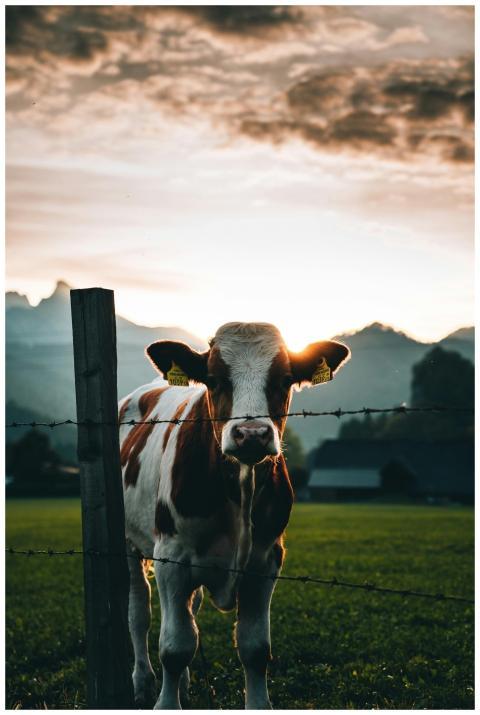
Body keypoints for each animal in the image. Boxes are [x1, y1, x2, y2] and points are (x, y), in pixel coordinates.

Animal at [119, 322, 350, 709]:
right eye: (213, 379)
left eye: (285, 379)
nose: (251, 434)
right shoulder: (171, 557)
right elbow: (174, 647)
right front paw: (166, 701)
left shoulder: (267, 560)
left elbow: (254, 649)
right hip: (129, 544)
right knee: (139, 612)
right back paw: (142, 680)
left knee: (191, 611)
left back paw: (182, 684)